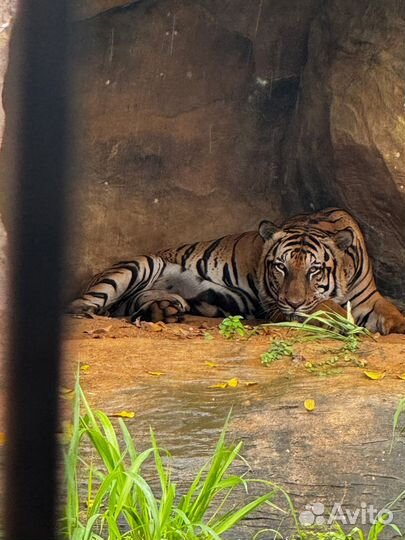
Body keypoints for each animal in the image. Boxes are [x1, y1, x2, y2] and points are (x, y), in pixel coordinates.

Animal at [68, 207, 404, 334]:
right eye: (280, 267)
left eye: (315, 270)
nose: (293, 302)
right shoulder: (279, 307)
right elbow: (323, 307)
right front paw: (337, 320)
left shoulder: (369, 299)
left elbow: (393, 314)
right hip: (138, 265)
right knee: (82, 304)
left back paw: (164, 311)